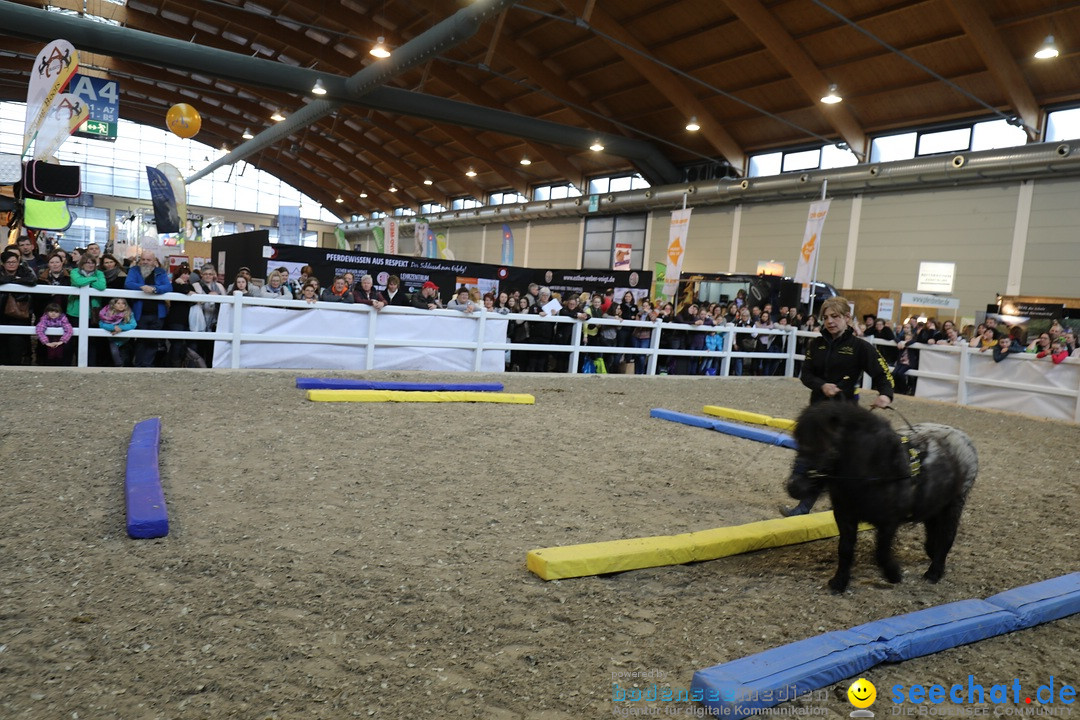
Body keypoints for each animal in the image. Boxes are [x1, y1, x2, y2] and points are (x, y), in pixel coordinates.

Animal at [790, 403, 976, 595]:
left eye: (826, 448)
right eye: (799, 444)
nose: (794, 488)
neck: (877, 470)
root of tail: (963, 439)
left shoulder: (889, 522)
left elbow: (881, 552)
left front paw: (893, 574)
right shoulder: (845, 516)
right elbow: (845, 549)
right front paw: (839, 582)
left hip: (954, 503)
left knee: (947, 536)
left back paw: (934, 573)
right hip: (934, 505)